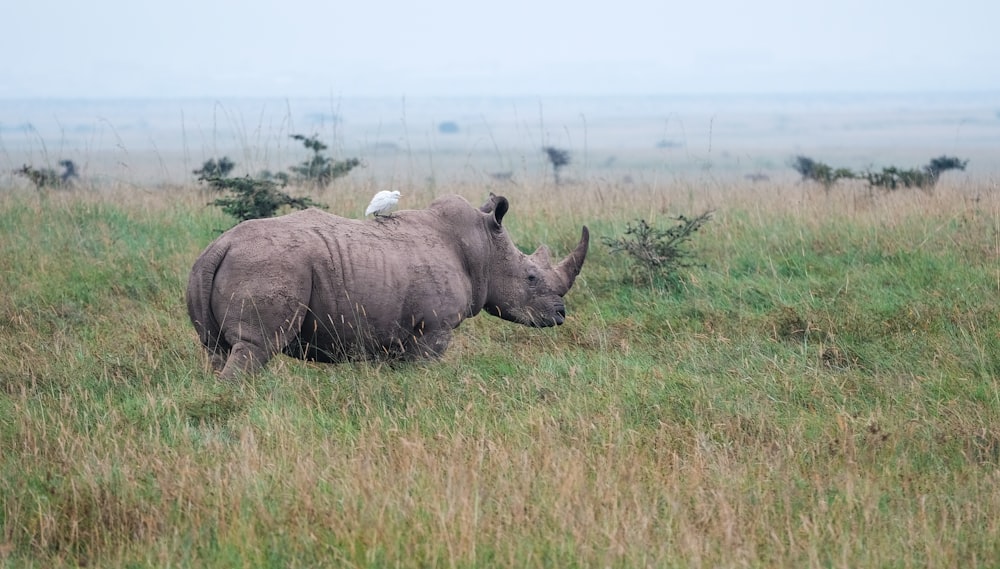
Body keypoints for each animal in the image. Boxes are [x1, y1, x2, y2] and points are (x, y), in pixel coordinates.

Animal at [188, 193, 584, 380]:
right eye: (531, 277)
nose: (561, 315)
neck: (483, 247)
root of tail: (219, 246)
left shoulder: (392, 332)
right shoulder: (434, 329)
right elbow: (423, 370)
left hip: (217, 270)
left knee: (217, 349)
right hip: (270, 266)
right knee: (257, 347)